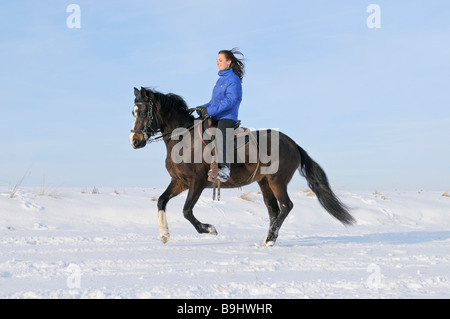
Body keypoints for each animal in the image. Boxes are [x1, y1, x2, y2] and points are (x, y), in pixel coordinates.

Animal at [128, 86, 354, 246]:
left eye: (144, 112)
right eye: (133, 112)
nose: (134, 141)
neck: (183, 139)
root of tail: (293, 144)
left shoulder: (198, 181)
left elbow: (186, 211)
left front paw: (210, 229)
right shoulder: (180, 182)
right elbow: (161, 201)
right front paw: (164, 235)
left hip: (277, 180)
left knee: (286, 206)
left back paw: (270, 240)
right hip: (264, 182)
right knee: (274, 210)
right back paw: (267, 239)